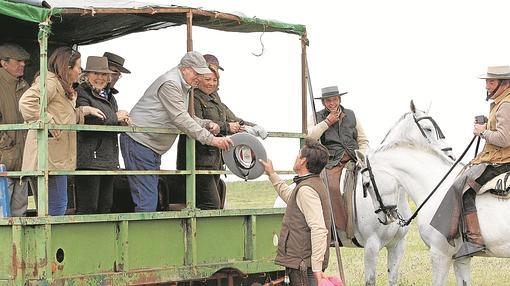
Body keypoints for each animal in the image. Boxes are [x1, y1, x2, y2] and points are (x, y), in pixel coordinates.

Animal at [356, 103, 510, 286]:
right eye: (429, 129)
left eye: (366, 184)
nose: (384, 218)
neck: (434, 183)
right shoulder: (461, 258)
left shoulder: (439, 254)